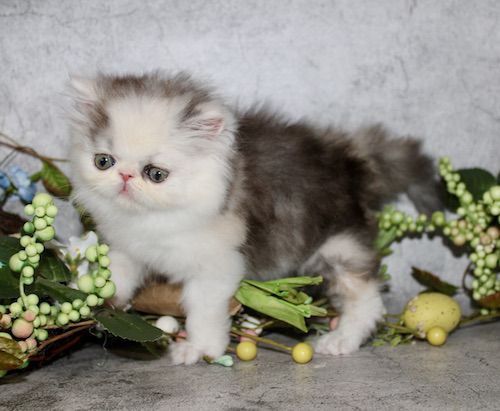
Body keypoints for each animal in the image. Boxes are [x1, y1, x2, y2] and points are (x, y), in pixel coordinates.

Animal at [68, 72, 440, 365]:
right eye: (103, 161)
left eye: (156, 174)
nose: (125, 177)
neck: (152, 219)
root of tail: (351, 160)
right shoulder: (126, 247)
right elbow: (116, 273)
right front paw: (94, 299)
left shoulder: (218, 265)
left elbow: (202, 309)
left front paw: (200, 348)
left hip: (337, 244)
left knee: (365, 297)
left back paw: (342, 339)